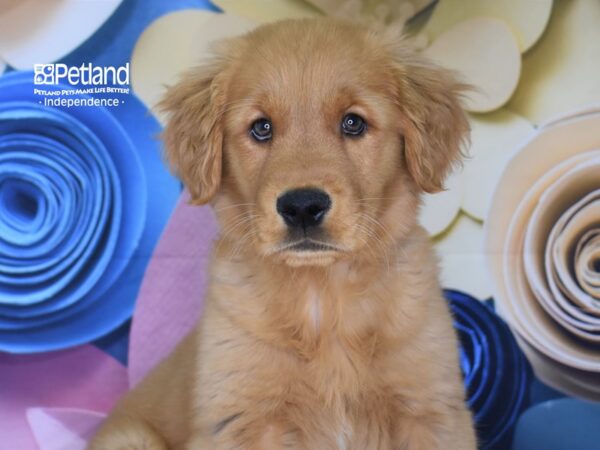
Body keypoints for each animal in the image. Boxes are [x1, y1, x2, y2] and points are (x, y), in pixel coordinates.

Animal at [88, 17, 474, 450]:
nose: (302, 206)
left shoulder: (432, 412)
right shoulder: (243, 420)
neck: (323, 297)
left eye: (353, 123)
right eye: (261, 128)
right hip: (131, 438)